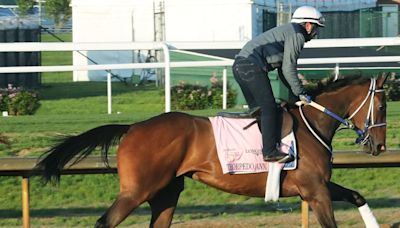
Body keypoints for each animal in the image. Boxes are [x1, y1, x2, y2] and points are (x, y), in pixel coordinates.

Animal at [36, 74, 388, 227]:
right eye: (383, 105)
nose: (381, 146)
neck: (313, 122)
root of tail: (134, 127)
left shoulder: (316, 187)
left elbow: (357, 195)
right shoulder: (315, 191)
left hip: (165, 193)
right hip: (136, 190)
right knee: (104, 223)